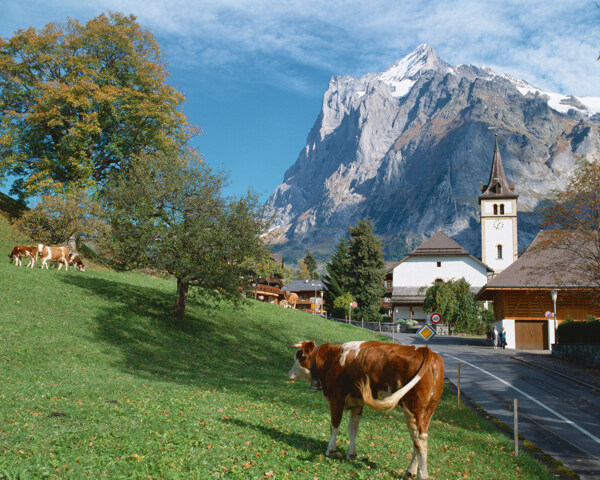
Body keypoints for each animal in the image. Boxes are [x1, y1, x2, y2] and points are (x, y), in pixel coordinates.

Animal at [288, 342, 442, 480]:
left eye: (299, 357)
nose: (289, 374)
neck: (330, 360)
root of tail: (424, 350)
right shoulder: (357, 403)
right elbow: (353, 428)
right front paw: (351, 454)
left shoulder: (336, 399)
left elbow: (334, 426)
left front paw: (330, 450)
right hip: (428, 410)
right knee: (419, 439)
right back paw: (410, 472)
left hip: (413, 407)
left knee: (419, 440)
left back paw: (422, 475)